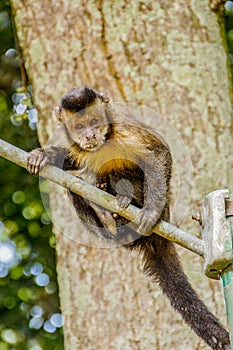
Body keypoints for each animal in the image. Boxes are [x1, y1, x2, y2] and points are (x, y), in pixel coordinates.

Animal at [26, 86, 229, 348]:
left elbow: (157, 153)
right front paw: (44, 155)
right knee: (74, 187)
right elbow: (70, 159)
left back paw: (124, 204)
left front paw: (150, 212)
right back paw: (108, 216)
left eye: (94, 121)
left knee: (127, 170)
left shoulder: (123, 127)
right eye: (79, 126)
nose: (90, 135)